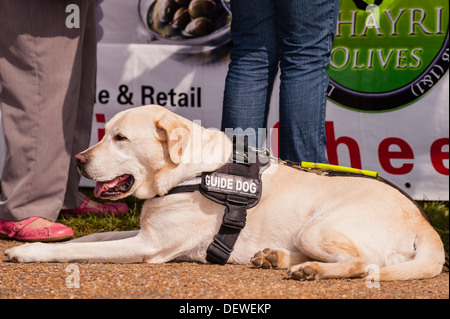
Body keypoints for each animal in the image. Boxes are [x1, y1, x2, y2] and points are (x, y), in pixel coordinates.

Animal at [5, 105, 444, 282]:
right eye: (105, 131)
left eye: (121, 138)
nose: (78, 160)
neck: (188, 172)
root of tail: (423, 221)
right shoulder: (144, 231)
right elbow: (93, 235)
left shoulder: (149, 245)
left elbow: (79, 249)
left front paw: (29, 252)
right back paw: (275, 258)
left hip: (318, 228)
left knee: (364, 264)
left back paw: (310, 270)